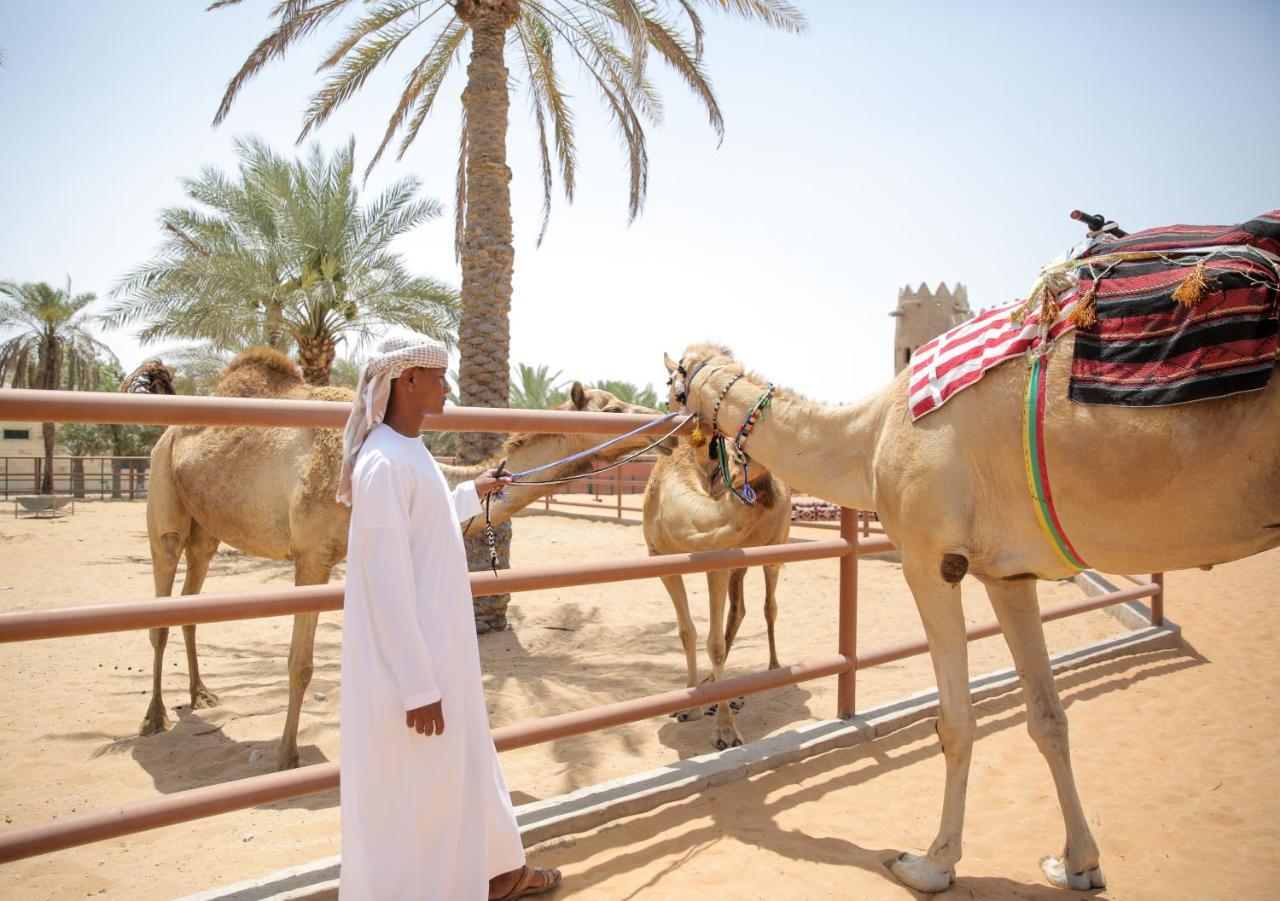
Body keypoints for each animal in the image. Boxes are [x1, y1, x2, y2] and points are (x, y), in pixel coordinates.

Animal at [124, 348, 675, 773]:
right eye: (614, 407)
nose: (667, 423)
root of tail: (169, 432)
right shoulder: (311, 555)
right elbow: (301, 663)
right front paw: (286, 756)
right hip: (163, 498)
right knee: (159, 604)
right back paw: (153, 718)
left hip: (207, 529)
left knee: (191, 603)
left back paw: (201, 695)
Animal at [650, 440, 788, 747]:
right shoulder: (662, 560)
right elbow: (687, 632)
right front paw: (690, 706)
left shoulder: (718, 562)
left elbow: (715, 645)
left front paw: (726, 731)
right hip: (742, 561)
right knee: (739, 610)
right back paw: (710, 686)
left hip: (775, 549)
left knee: (769, 606)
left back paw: (774, 667)